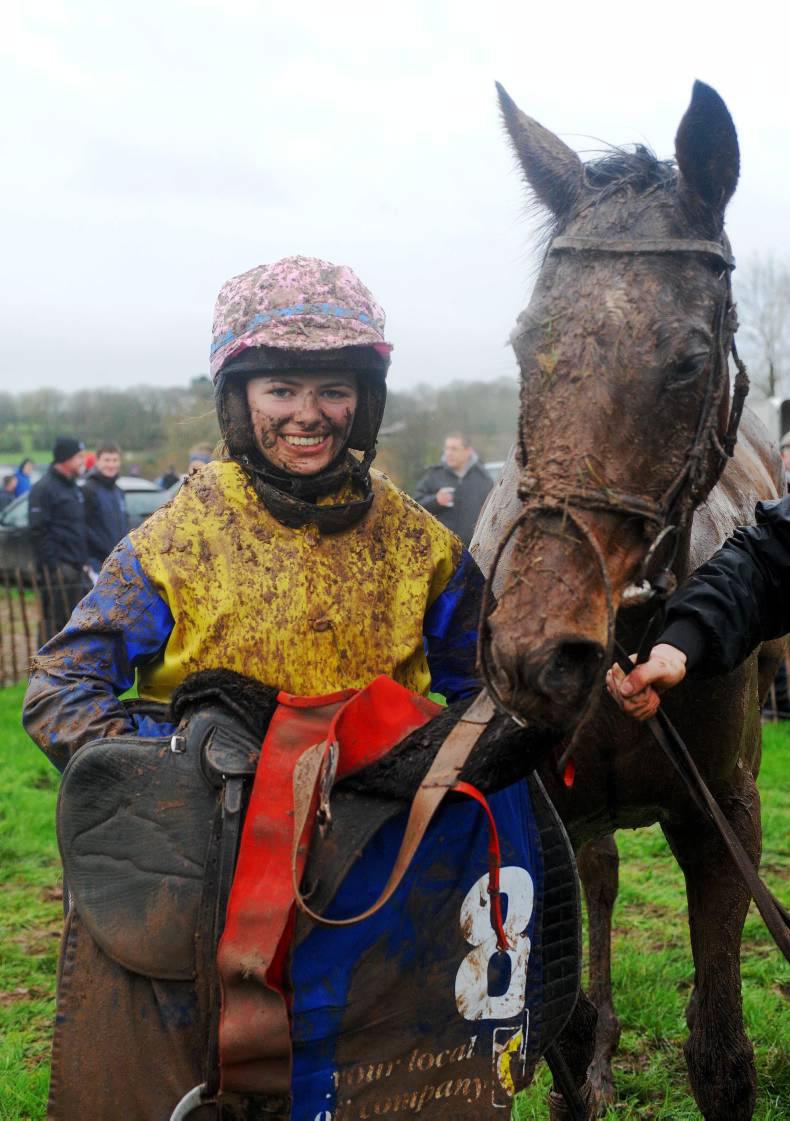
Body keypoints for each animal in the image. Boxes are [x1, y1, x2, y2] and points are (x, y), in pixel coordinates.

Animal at [471, 80, 783, 1121]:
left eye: (687, 359)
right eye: (526, 341)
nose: (534, 653)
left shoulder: (724, 821)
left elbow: (721, 1052)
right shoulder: (558, 815)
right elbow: (565, 1042)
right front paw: (589, 1052)